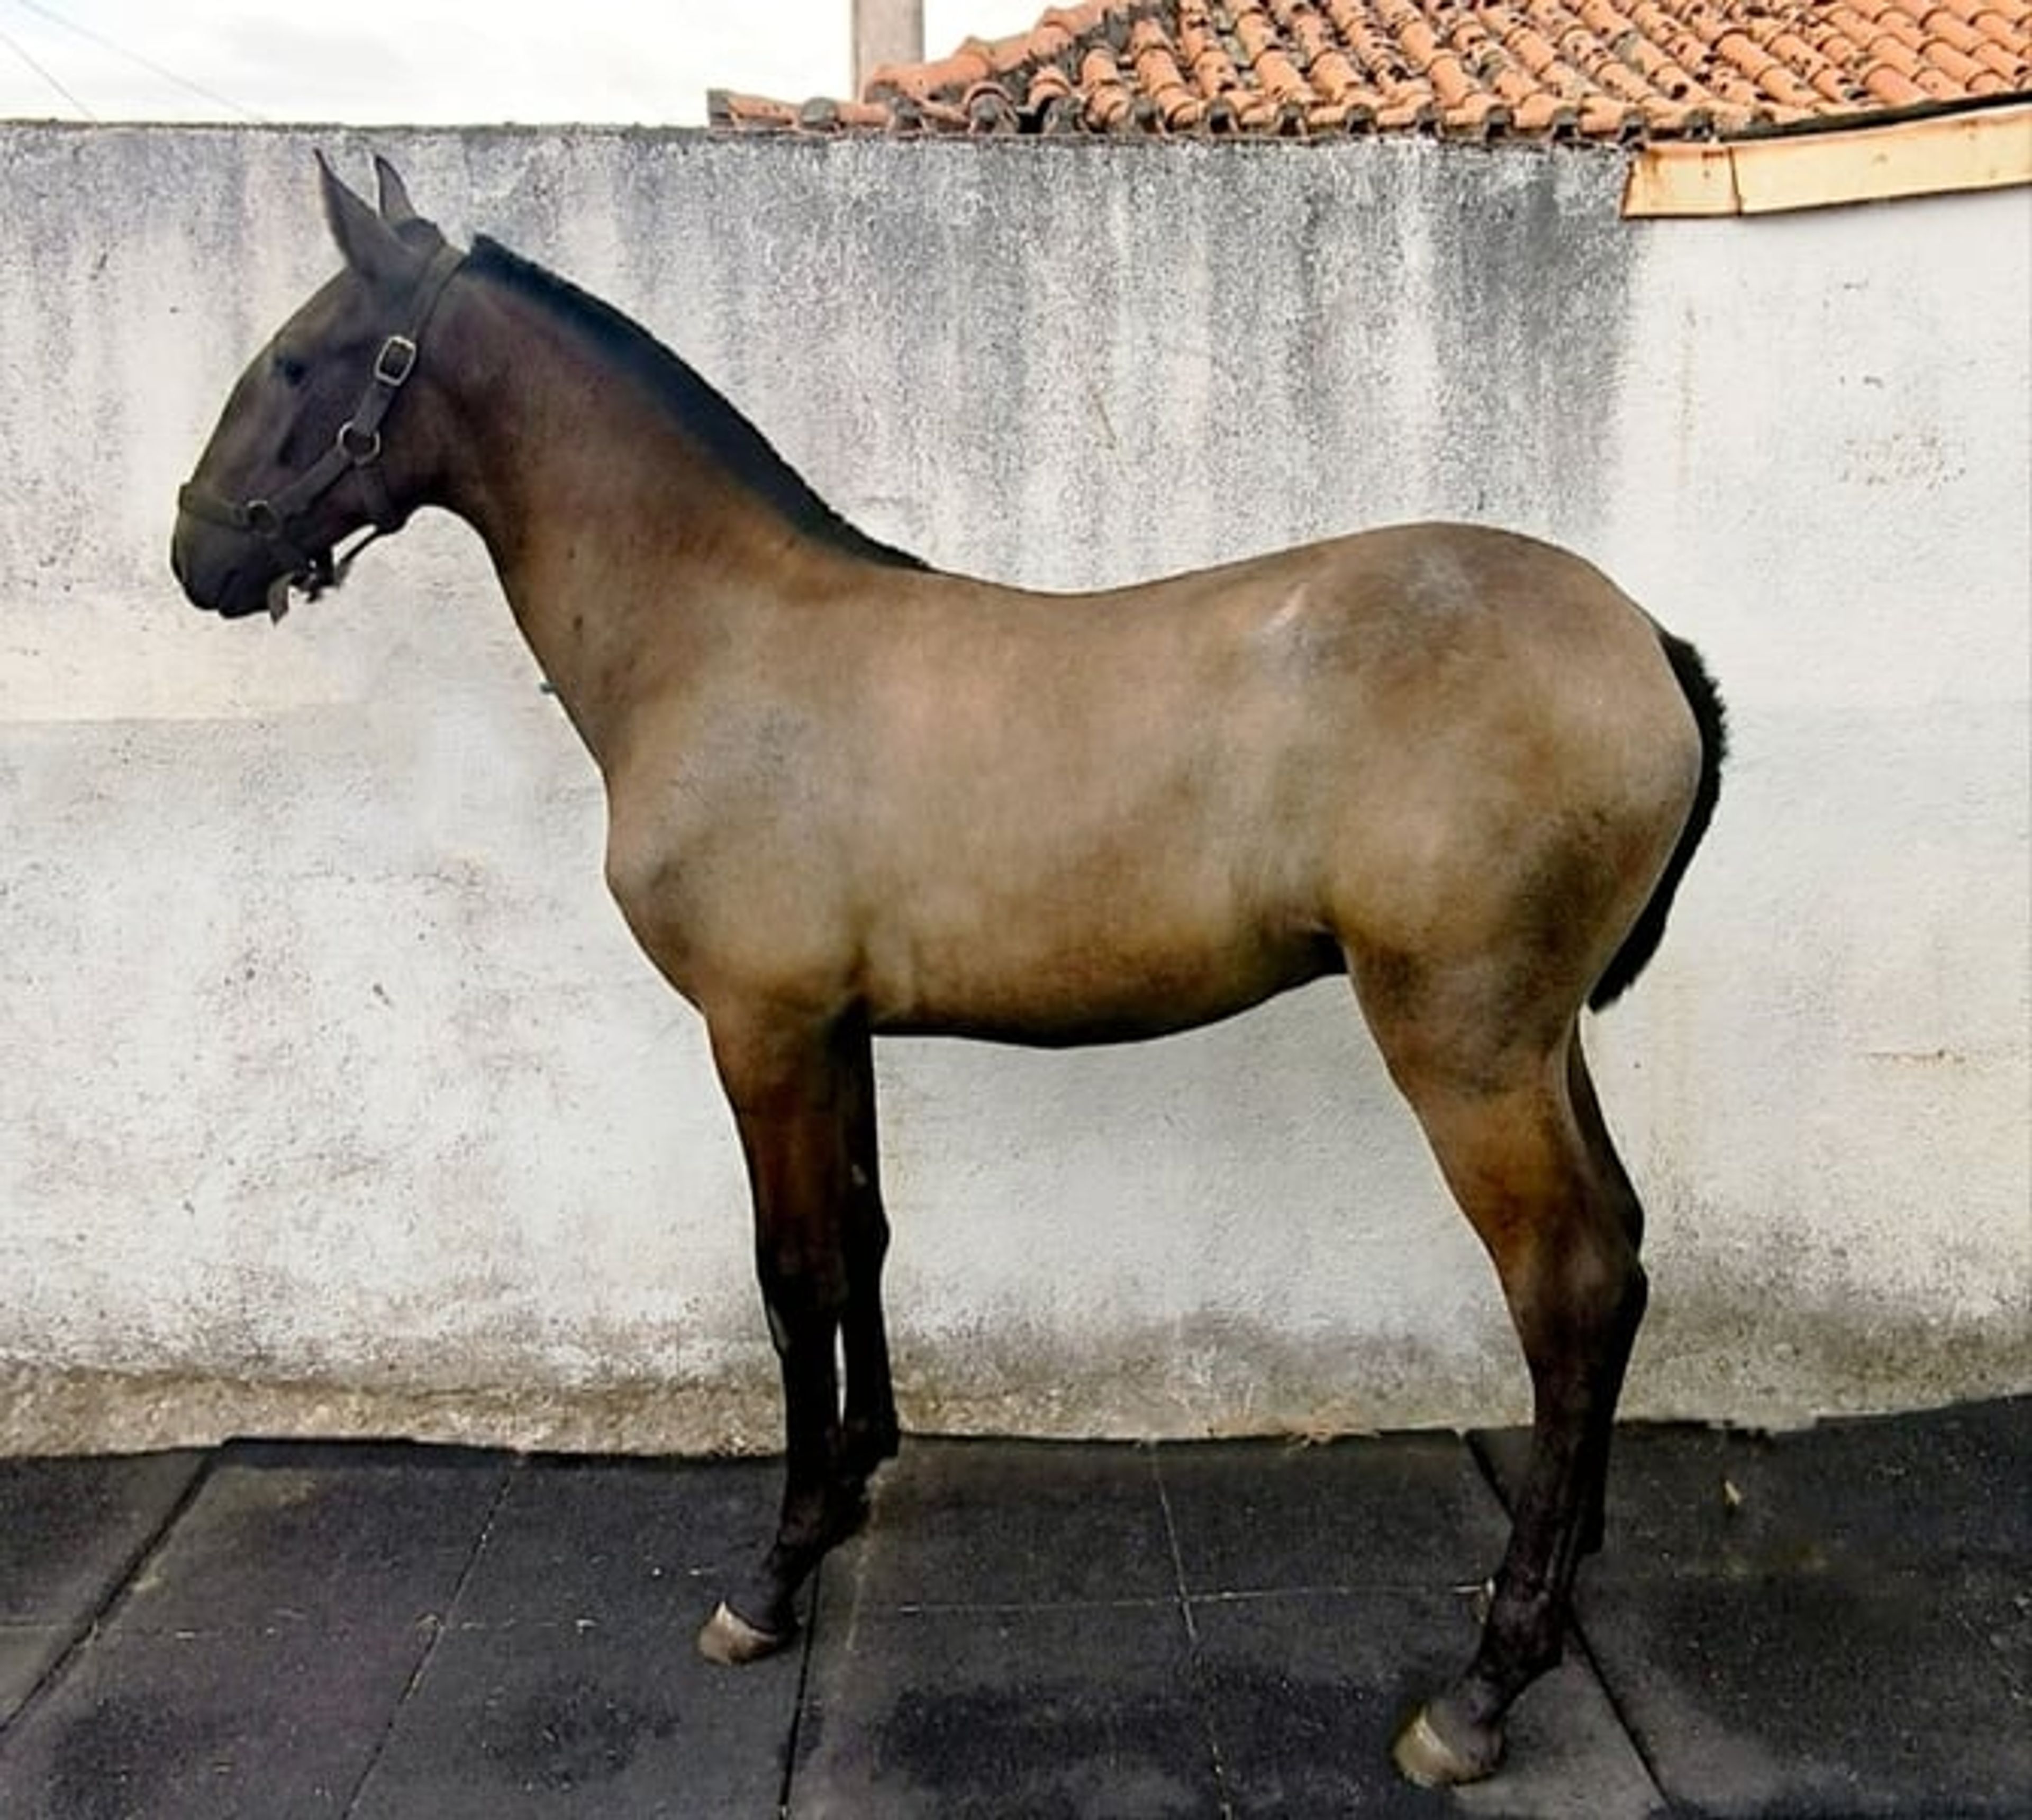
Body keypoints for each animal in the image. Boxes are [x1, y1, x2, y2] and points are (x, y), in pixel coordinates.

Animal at [171, 156, 1725, 1788]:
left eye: (297, 360)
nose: (197, 551)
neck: (722, 636)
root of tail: (1645, 641)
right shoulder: (833, 1030)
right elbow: (860, 1238)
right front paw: (855, 1475)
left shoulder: (760, 1029)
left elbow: (789, 1271)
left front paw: (774, 1572)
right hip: (1540, 1041)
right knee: (1619, 1255)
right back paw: (1562, 1566)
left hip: (1465, 1048)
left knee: (1565, 1283)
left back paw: (1484, 1681)